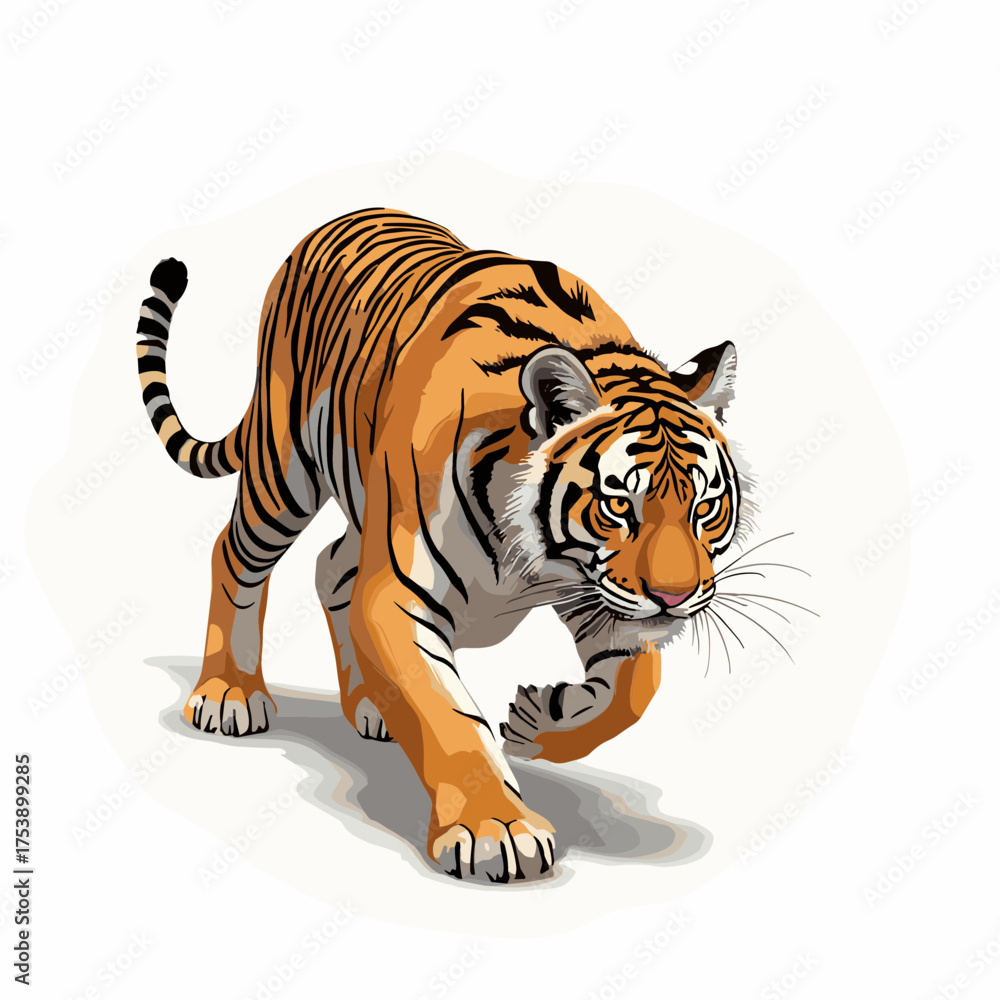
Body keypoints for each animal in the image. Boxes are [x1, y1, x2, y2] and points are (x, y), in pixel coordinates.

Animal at [134, 207, 746, 884]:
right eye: (619, 506)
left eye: (705, 507)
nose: (676, 597)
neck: (534, 560)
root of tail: (338, 218)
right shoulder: (399, 593)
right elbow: (446, 715)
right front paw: (495, 829)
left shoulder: (592, 590)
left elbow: (635, 690)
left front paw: (539, 722)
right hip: (284, 466)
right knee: (235, 551)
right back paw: (229, 694)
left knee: (330, 566)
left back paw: (371, 705)